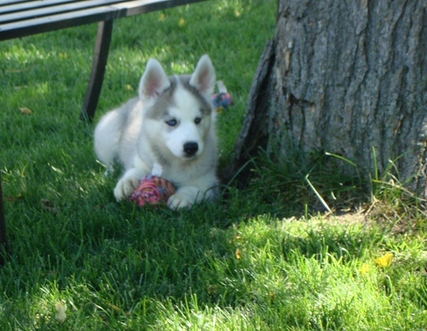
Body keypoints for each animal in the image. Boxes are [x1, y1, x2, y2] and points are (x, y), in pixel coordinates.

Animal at [95, 54, 219, 210]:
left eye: (198, 120)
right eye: (171, 121)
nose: (191, 147)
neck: (173, 162)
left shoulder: (208, 182)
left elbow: (196, 189)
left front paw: (182, 197)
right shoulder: (140, 157)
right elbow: (134, 169)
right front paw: (126, 183)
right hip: (105, 133)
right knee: (109, 160)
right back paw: (109, 171)